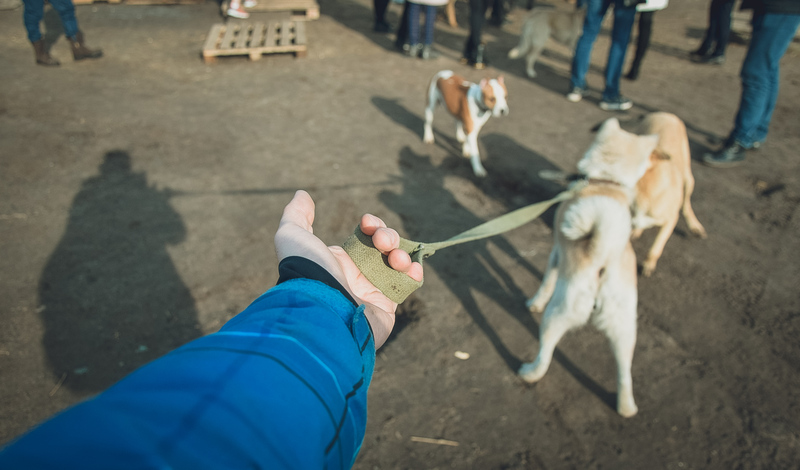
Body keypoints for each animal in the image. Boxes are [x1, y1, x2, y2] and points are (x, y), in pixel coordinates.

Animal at [520, 118, 660, 418]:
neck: (605, 182)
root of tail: (603, 254)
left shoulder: (556, 254)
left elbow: (545, 282)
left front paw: (533, 302)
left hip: (557, 315)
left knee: (545, 355)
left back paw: (528, 372)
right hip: (624, 328)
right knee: (625, 373)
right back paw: (626, 407)